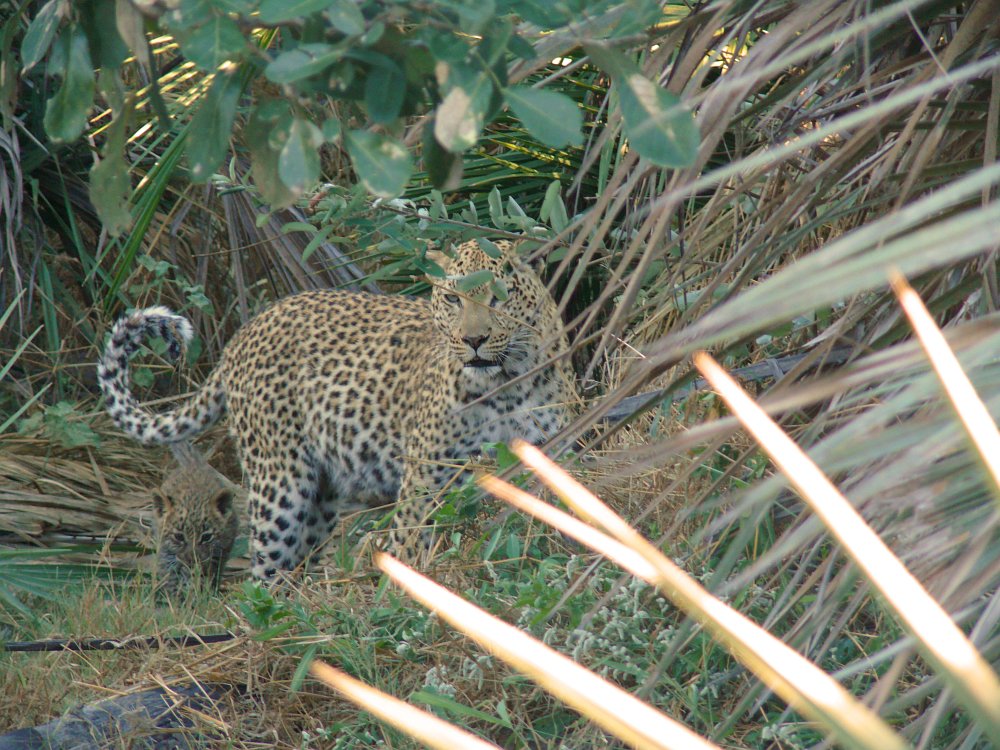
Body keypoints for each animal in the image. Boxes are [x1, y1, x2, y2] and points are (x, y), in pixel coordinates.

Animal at [98, 239, 577, 580]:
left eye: (498, 297)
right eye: (453, 300)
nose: (474, 340)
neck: (507, 383)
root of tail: (245, 331)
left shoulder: (551, 455)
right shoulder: (426, 476)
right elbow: (410, 542)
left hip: (321, 494)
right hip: (278, 483)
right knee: (263, 574)